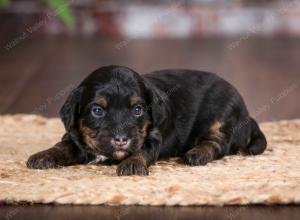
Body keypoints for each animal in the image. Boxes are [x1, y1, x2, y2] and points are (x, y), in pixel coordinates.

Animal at [27, 65, 268, 175]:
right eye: (97, 110)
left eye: (138, 109)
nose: (121, 140)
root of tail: (248, 116)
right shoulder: (75, 136)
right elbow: (62, 146)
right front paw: (43, 155)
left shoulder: (152, 136)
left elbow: (142, 150)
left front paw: (132, 164)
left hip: (222, 116)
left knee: (218, 144)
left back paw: (196, 153)